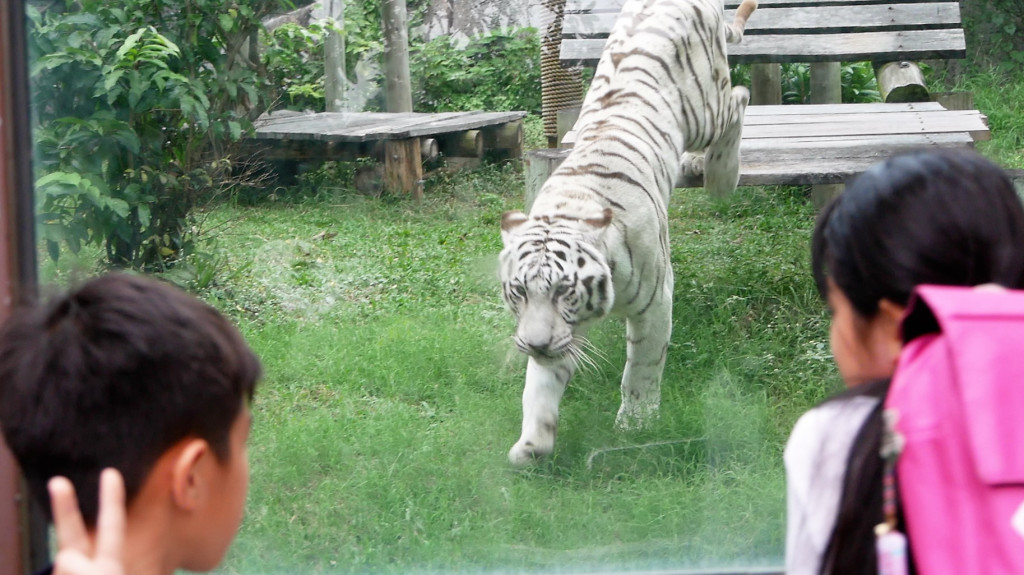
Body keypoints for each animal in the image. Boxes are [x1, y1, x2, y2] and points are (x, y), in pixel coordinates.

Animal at [499, 0, 757, 460]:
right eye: (519, 292)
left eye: (563, 290)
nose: (535, 345)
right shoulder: (558, 329)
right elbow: (540, 384)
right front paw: (532, 443)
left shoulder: (656, 300)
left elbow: (643, 365)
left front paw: (636, 424)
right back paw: (696, 163)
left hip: (705, 110)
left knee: (739, 99)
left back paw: (721, 175)